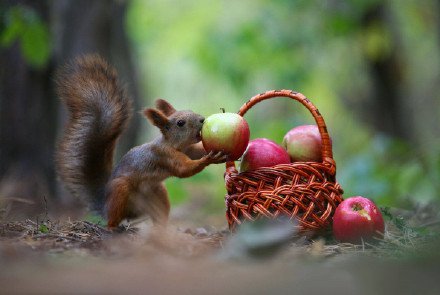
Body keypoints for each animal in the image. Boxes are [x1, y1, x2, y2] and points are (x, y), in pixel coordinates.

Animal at [55, 56, 227, 231]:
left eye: (191, 110)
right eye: (180, 123)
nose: (203, 119)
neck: (176, 145)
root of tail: (104, 205)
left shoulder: (190, 150)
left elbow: (198, 152)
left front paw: (218, 155)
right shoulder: (164, 155)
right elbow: (184, 170)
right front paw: (208, 159)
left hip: (158, 193)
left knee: (159, 216)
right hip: (120, 191)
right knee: (112, 218)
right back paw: (113, 228)